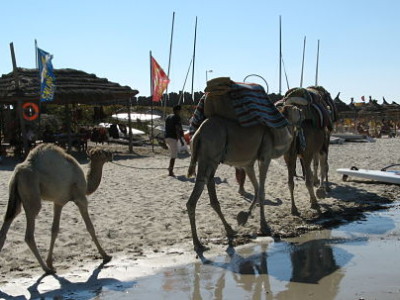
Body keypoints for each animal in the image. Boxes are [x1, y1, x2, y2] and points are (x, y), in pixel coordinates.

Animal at [0, 143, 112, 274]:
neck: (86, 185)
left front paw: (51, 262)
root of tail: (17, 172)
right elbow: (90, 227)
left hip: (16, 195)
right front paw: (105, 256)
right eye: (103, 152)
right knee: (29, 233)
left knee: (9, 219)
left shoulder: (58, 202)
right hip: (31, 193)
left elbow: (54, 230)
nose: (111, 154)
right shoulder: (80, 198)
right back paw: (46, 269)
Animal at [185, 105, 300, 253]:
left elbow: (257, 189)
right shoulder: (265, 156)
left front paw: (244, 217)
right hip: (209, 156)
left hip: (210, 160)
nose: (301, 112)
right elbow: (261, 192)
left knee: (209, 190)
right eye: (295, 109)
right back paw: (198, 244)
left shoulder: (247, 163)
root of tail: (197, 134)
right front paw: (264, 226)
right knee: (194, 198)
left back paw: (229, 230)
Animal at [282, 85, 338, 214]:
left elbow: (318, 166)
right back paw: (314, 201)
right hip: (309, 151)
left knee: (293, 181)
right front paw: (322, 191)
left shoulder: (311, 150)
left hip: (293, 154)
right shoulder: (319, 147)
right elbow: (322, 166)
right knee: (310, 177)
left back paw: (294, 208)